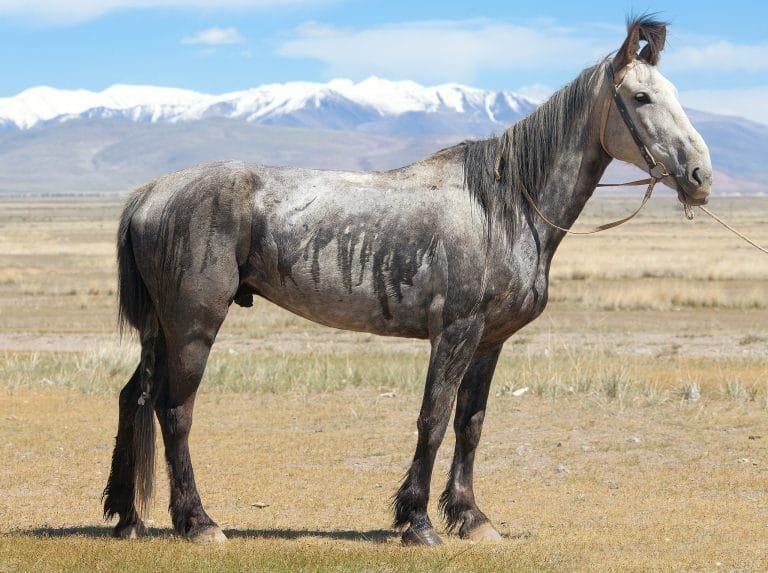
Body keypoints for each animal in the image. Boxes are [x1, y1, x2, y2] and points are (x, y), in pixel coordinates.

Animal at [102, 16, 711, 546]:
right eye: (642, 98)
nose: (701, 175)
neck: (504, 206)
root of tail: (149, 193)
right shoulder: (455, 333)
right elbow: (433, 419)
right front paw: (417, 521)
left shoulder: (489, 342)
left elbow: (470, 423)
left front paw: (471, 518)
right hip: (194, 325)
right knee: (174, 411)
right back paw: (197, 522)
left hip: (161, 327)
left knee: (136, 396)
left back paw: (128, 517)